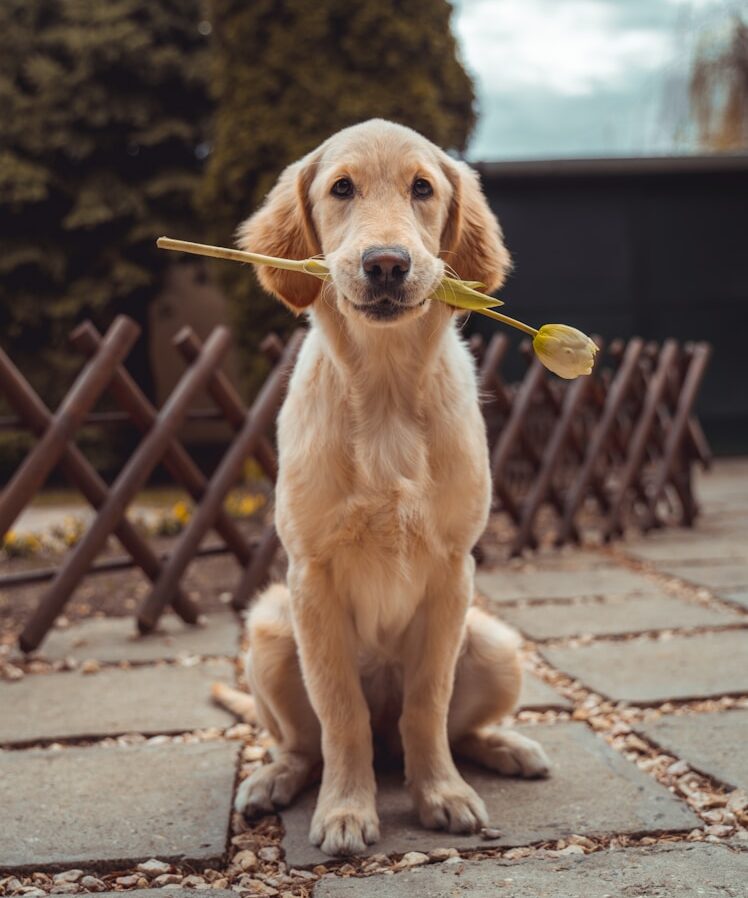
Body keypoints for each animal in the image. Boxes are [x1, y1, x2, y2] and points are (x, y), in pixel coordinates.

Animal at [228, 117, 548, 856]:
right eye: (342, 188)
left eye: (422, 188)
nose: (385, 264)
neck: (385, 392)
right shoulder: (311, 576)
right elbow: (339, 710)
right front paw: (347, 809)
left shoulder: (453, 571)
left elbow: (428, 702)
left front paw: (442, 794)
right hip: (269, 631)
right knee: (305, 744)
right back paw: (272, 780)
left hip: (495, 644)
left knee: (449, 728)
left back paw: (505, 748)